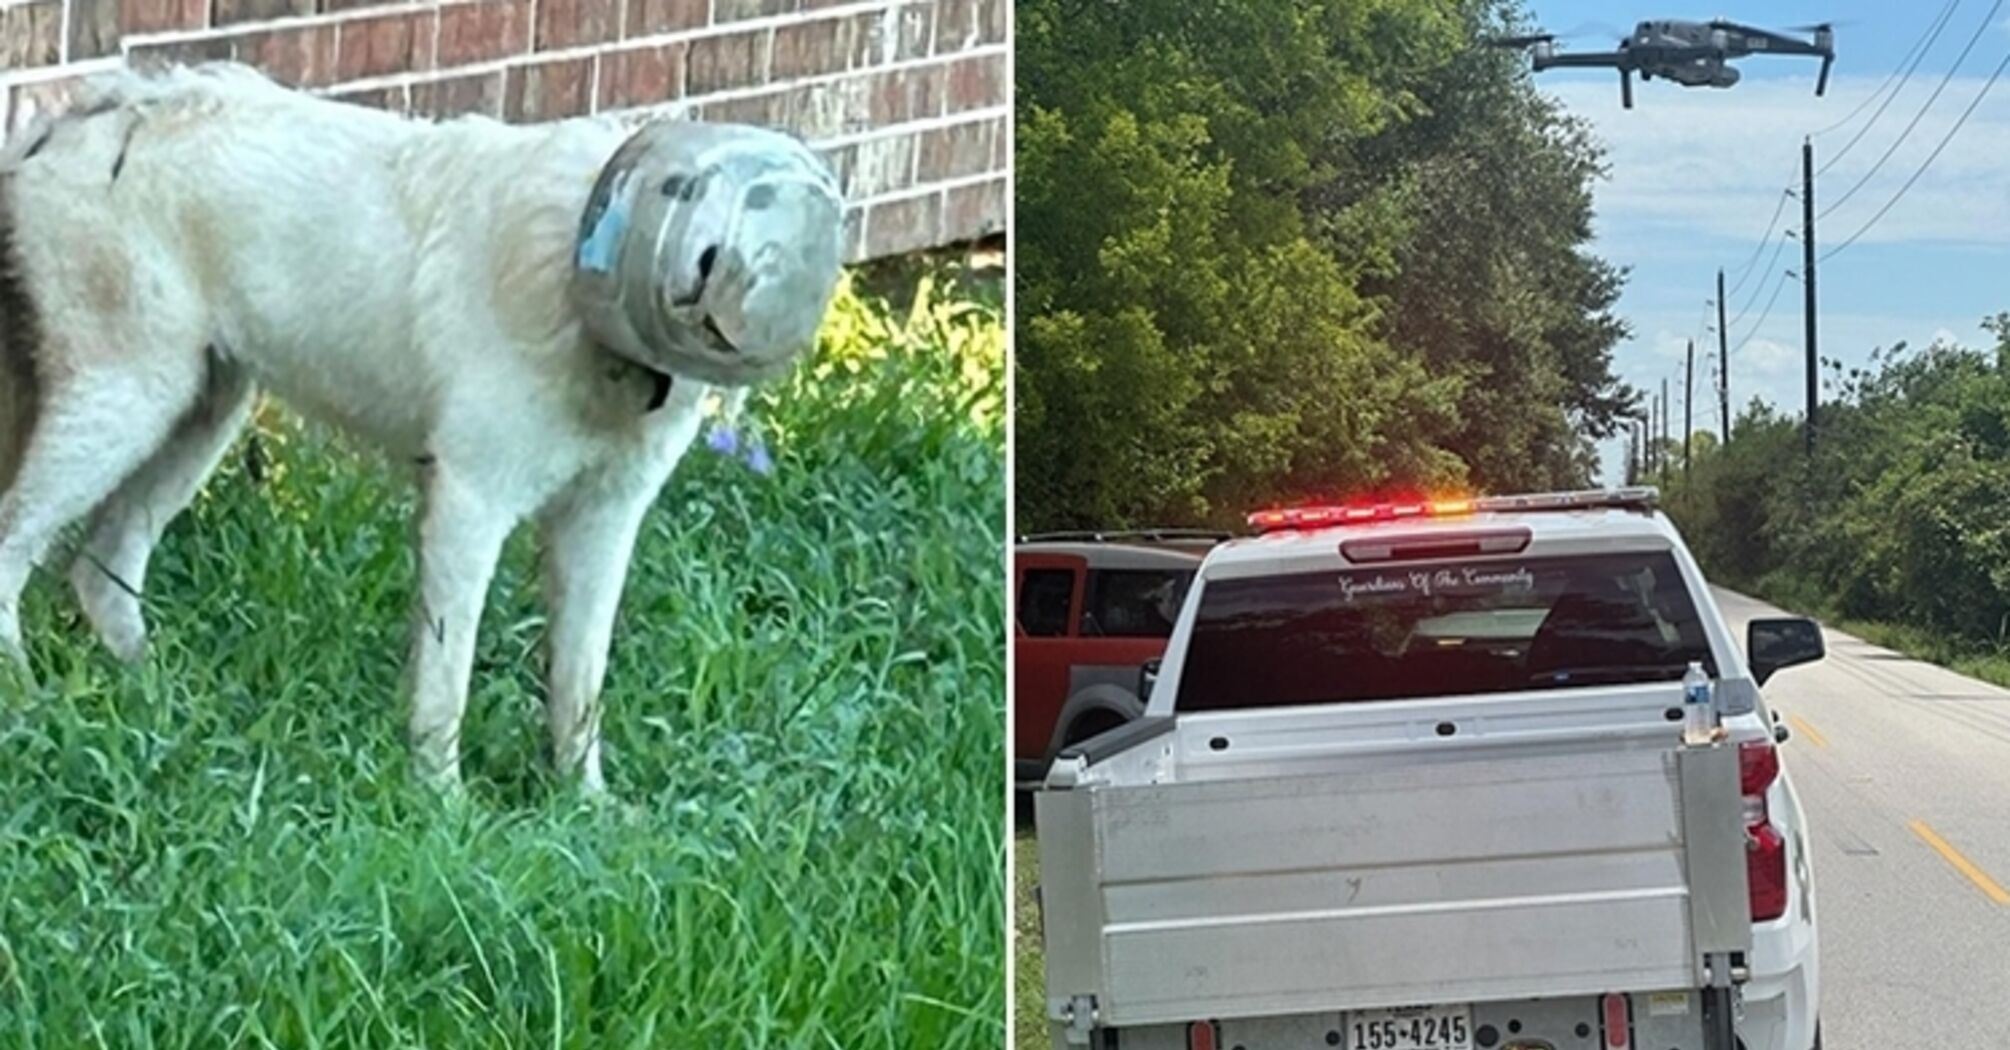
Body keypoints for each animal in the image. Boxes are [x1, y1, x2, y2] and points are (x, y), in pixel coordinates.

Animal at [0, 63, 844, 784]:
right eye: (689, 202)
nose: (723, 283)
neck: (577, 269)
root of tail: (92, 112)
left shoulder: (605, 520)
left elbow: (580, 683)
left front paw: (586, 805)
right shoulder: (470, 502)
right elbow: (448, 680)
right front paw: (442, 802)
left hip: (200, 412)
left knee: (102, 568)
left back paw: (161, 702)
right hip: (127, 400)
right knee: (17, 544)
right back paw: (27, 700)